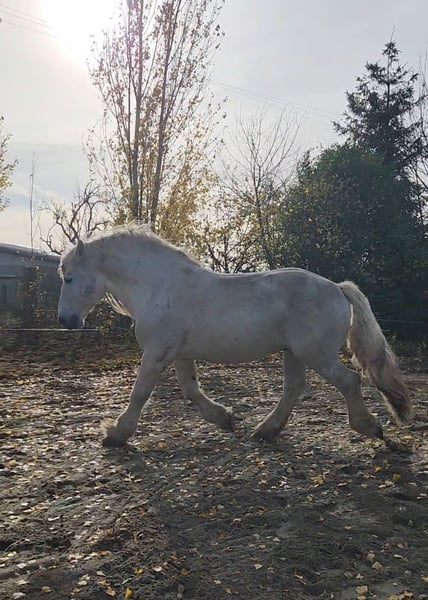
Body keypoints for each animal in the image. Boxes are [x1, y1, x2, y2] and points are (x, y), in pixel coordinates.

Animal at [57, 225, 412, 447]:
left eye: (69, 278)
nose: (66, 320)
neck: (158, 286)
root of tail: (338, 288)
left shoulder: (157, 353)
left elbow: (139, 393)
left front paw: (116, 434)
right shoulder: (179, 354)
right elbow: (191, 390)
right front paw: (224, 418)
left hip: (317, 354)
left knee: (350, 381)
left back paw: (370, 427)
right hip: (295, 353)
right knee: (294, 388)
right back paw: (266, 431)